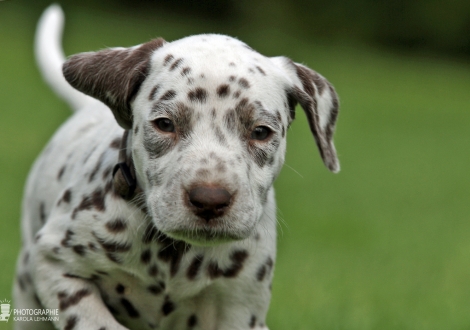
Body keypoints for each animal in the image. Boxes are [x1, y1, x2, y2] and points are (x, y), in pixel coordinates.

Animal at [12, 4, 340, 330]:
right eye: (165, 124)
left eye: (260, 132)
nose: (210, 201)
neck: (172, 255)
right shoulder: (54, 266)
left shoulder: (241, 309)